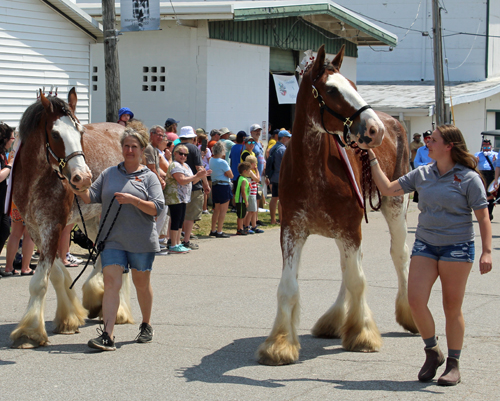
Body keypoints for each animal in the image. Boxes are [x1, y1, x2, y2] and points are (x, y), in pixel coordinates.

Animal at [11, 88, 134, 346]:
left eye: (80, 132)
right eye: (55, 134)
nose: (83, 178)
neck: (35, 178)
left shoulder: (53, 226)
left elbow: (39, 282)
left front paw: (30, 331)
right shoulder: (36, 228)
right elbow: (56, 274)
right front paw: (69, 318)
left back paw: (118, 311)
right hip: (94, 219)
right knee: (103, 254)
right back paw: (96, 297)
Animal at [258, 45, 418, 364]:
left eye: (354, 85)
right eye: (331, 90)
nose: (375, 129)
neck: (312, 171)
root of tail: (395, 122)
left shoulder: (349, 228)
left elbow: (359, 280)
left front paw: (363, 334)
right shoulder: (292, 231)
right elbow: (288, 286)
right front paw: (280, 343)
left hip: (394, 208)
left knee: (398, 255)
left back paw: (408, 315)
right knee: (349, 266)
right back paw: (334, 320)